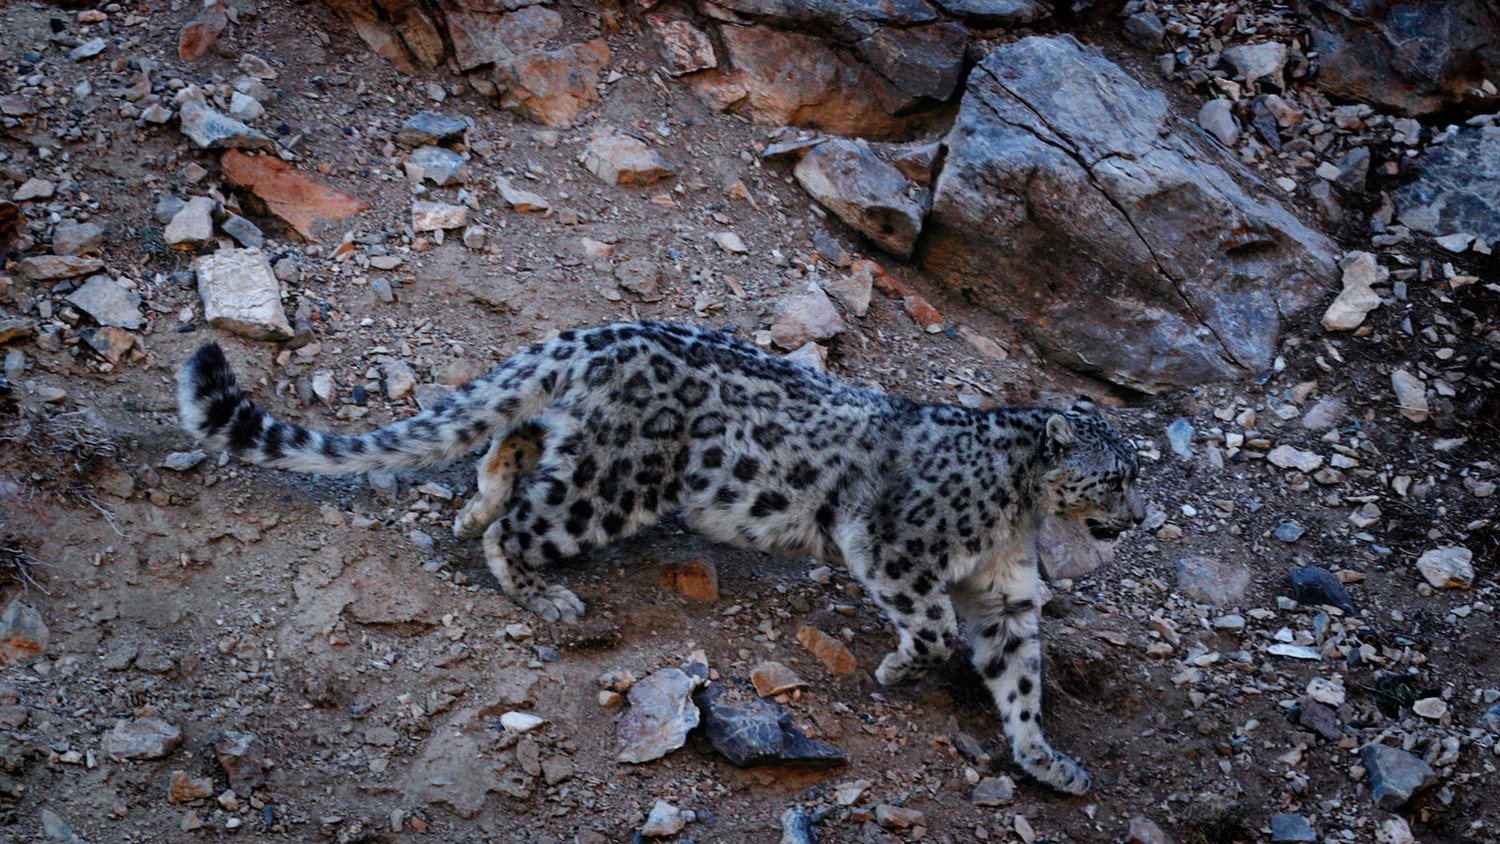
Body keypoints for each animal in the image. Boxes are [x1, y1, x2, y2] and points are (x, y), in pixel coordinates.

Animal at [175, 319, 1140, 791]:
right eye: (1114, 478)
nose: (1133, 519)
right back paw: (548, 598)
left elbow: (1020, 677)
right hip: (616, 480)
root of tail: (598, 335)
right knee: (519, 525)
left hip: (587, 444)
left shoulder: (1008, 596)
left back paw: (477, 499)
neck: (1017, 516)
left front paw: (1047, 761)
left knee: (514, 435)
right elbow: (935, 627)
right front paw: (899, 669)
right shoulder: (896, 544)